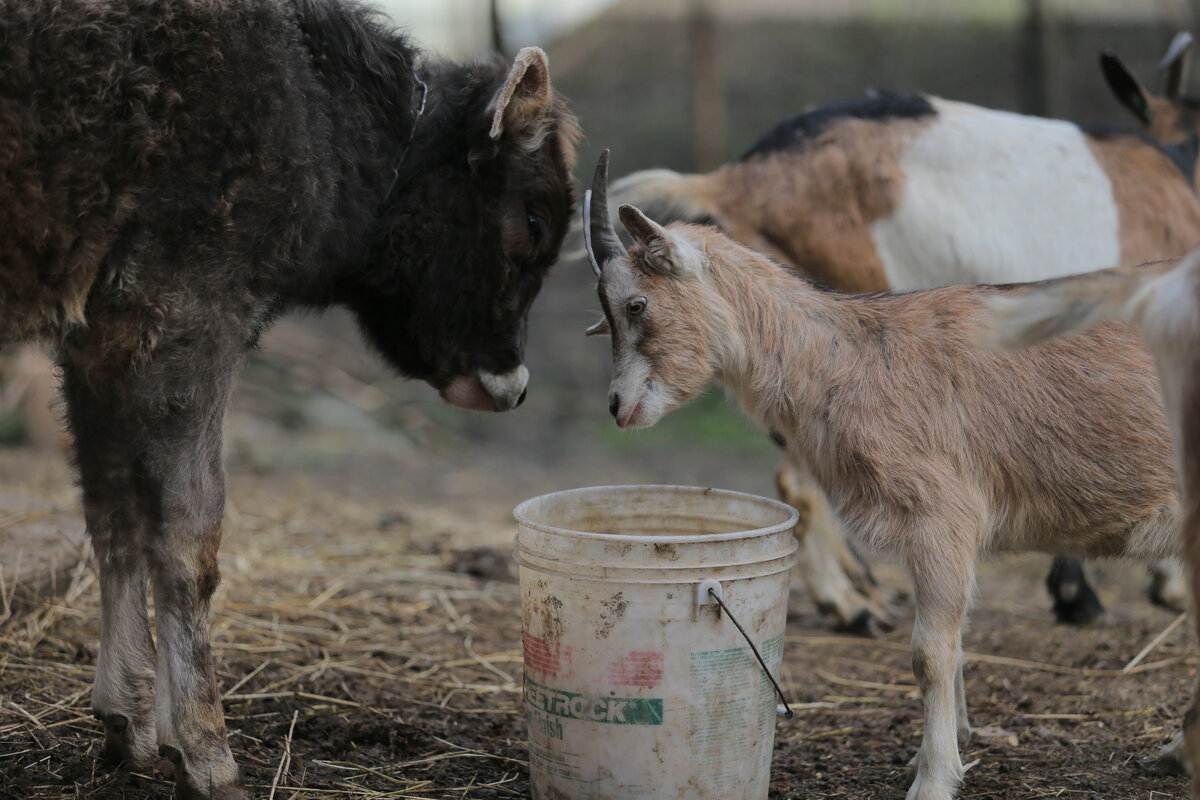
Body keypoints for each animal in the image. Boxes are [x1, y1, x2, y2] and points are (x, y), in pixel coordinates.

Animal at [0, 3, 578, 796]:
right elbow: (188, 534)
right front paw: (204, 748)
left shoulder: (97, 343)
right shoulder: (185, 315)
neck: (315, 107)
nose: (513, 385)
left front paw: (127, 716)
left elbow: (112, 512)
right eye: (534, 220)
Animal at [583, 151, 1180, 800]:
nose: (616, 406)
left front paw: (934, 777)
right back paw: (1174, 755)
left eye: (636, 304)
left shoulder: (942, 515)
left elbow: (930, 653)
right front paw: (944, 748)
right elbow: (955, 643)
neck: (848, 358)